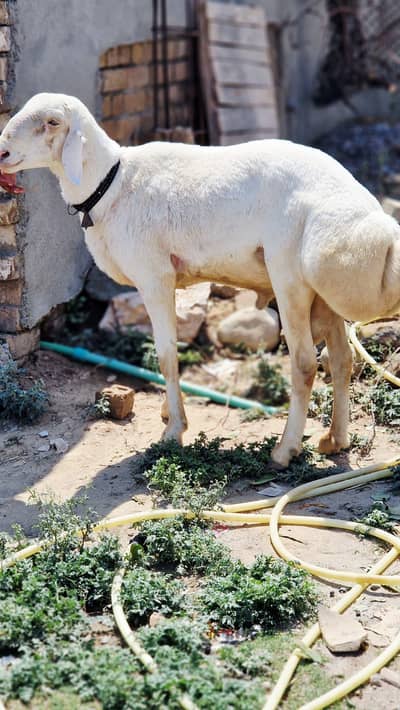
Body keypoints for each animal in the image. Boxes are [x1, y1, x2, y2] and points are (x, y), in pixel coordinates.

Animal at [0, 92, 399, 468]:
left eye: (52, 122)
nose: (2, 152)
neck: (110, 184)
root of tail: (375, 219)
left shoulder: (155, 277)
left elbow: (165, 357)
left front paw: (174, 430)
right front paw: (168, 413)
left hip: (290, 279)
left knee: (304, 363)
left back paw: (285, 451)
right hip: (321, 294)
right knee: (342, 359)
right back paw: (335, 440)